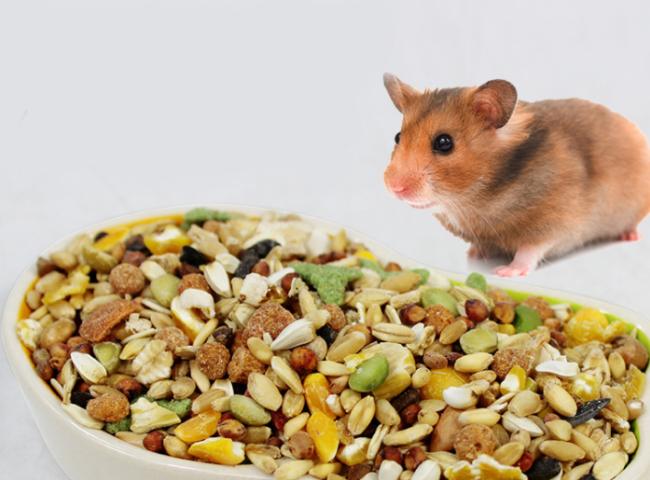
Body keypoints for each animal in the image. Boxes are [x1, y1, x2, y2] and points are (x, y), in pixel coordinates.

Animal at [383, 73, 650, 277]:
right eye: (397, 137)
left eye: (444, 143)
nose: (394, 188)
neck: (477, 199)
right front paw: (474, 254)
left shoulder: (553, 223)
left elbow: (530, 250)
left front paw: (505, 272)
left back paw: (631, 236)